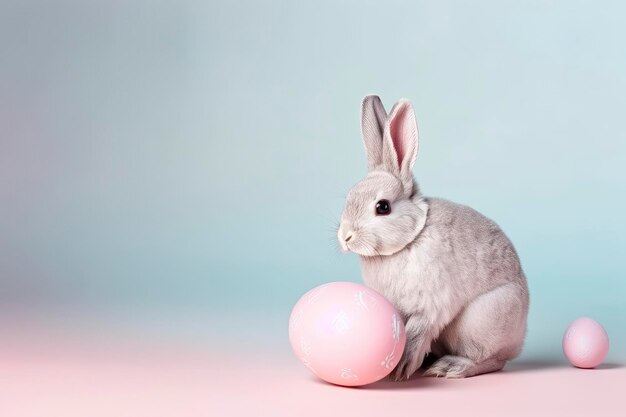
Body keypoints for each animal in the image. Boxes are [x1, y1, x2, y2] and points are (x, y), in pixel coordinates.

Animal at [336, 95, 528, 380]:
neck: (410, 239)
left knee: (492, 361)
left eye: (382, 207)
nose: (345, 237)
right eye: (349, 198)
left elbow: (416, 332)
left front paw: (401, 367)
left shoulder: (429, 306)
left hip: (481, 322)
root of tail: (520, 338)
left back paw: (450, 367)